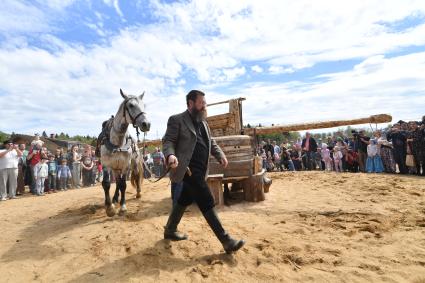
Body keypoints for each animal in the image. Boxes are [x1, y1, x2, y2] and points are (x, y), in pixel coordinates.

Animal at [100, 89, 150, 217]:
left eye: (144, 105)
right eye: (131, 105)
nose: (146, 124)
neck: (117, 142)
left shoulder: (125, 166)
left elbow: (123, 185)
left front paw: (122, 207)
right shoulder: (106, 165)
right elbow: (106, 183)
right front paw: (109, 207)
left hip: (134, 165)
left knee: (136, 177)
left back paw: (138, 193)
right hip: (115, 168)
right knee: (117, 182)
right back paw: (114, 199)